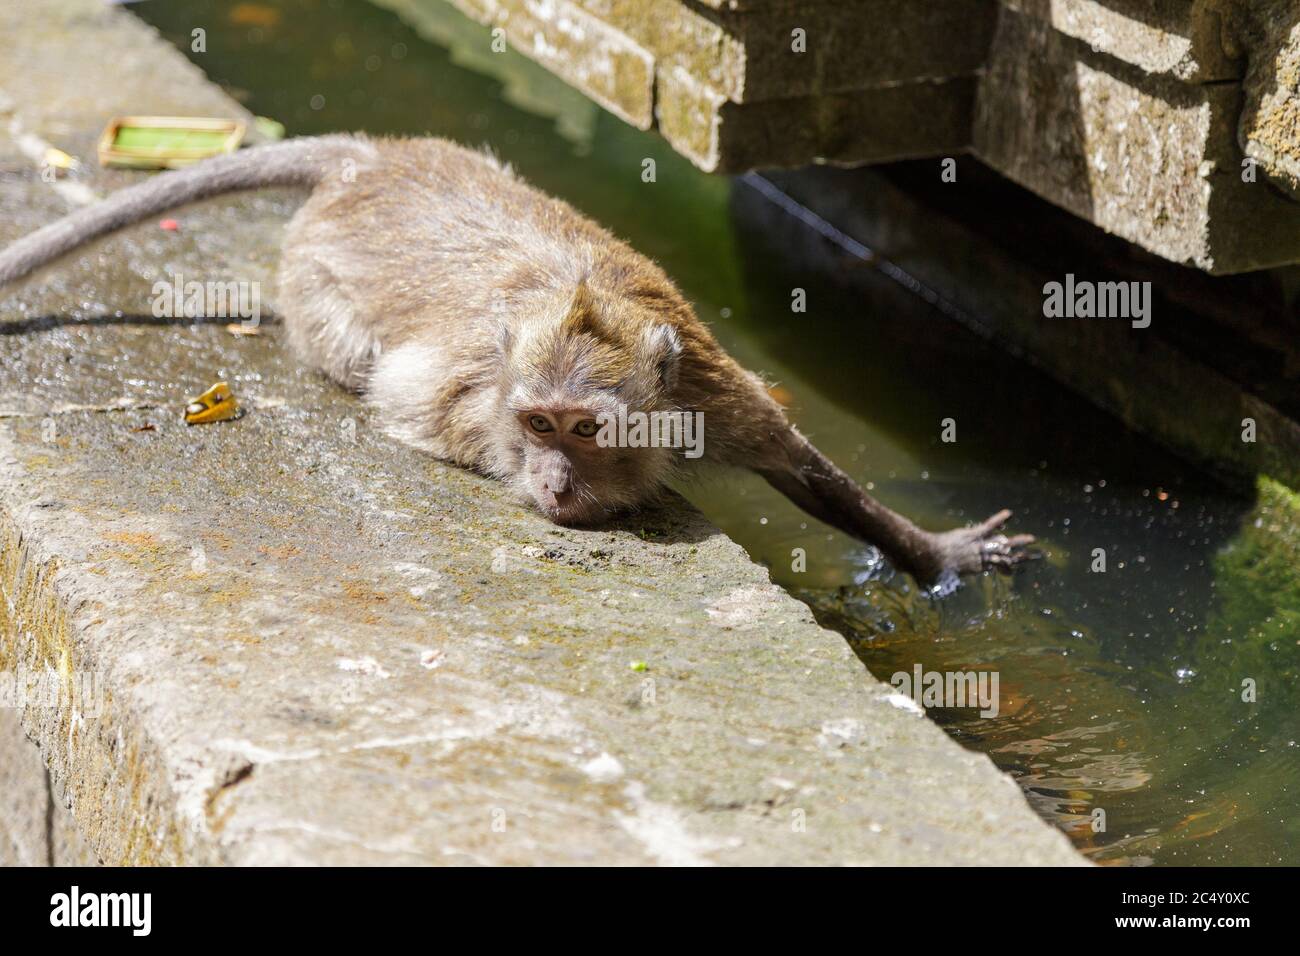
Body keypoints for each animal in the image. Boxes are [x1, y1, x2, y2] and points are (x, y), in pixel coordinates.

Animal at [0, 132, 1034, 582]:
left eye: (586, 430)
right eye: (538, 424)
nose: (555, 481)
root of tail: (371, 160)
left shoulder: (711, 395)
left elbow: (804, 471)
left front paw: (936, 552)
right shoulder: (468, 393)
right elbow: (414, 398)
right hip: (314, 286)